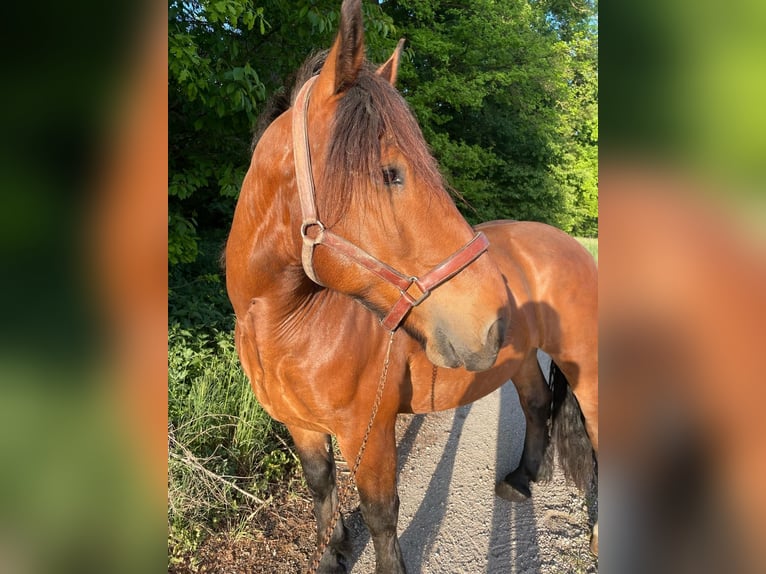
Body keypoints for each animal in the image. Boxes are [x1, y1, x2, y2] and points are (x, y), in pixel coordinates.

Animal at [225, 1, 598, 572]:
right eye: (390, 173)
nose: (492, 318)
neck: (287, 326)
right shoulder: (302, 427)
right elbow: (321, 491)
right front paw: (332, 554)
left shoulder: (371, 432)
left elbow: (381, 513)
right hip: (518, 359)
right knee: (537, 406)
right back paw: (518, 481)